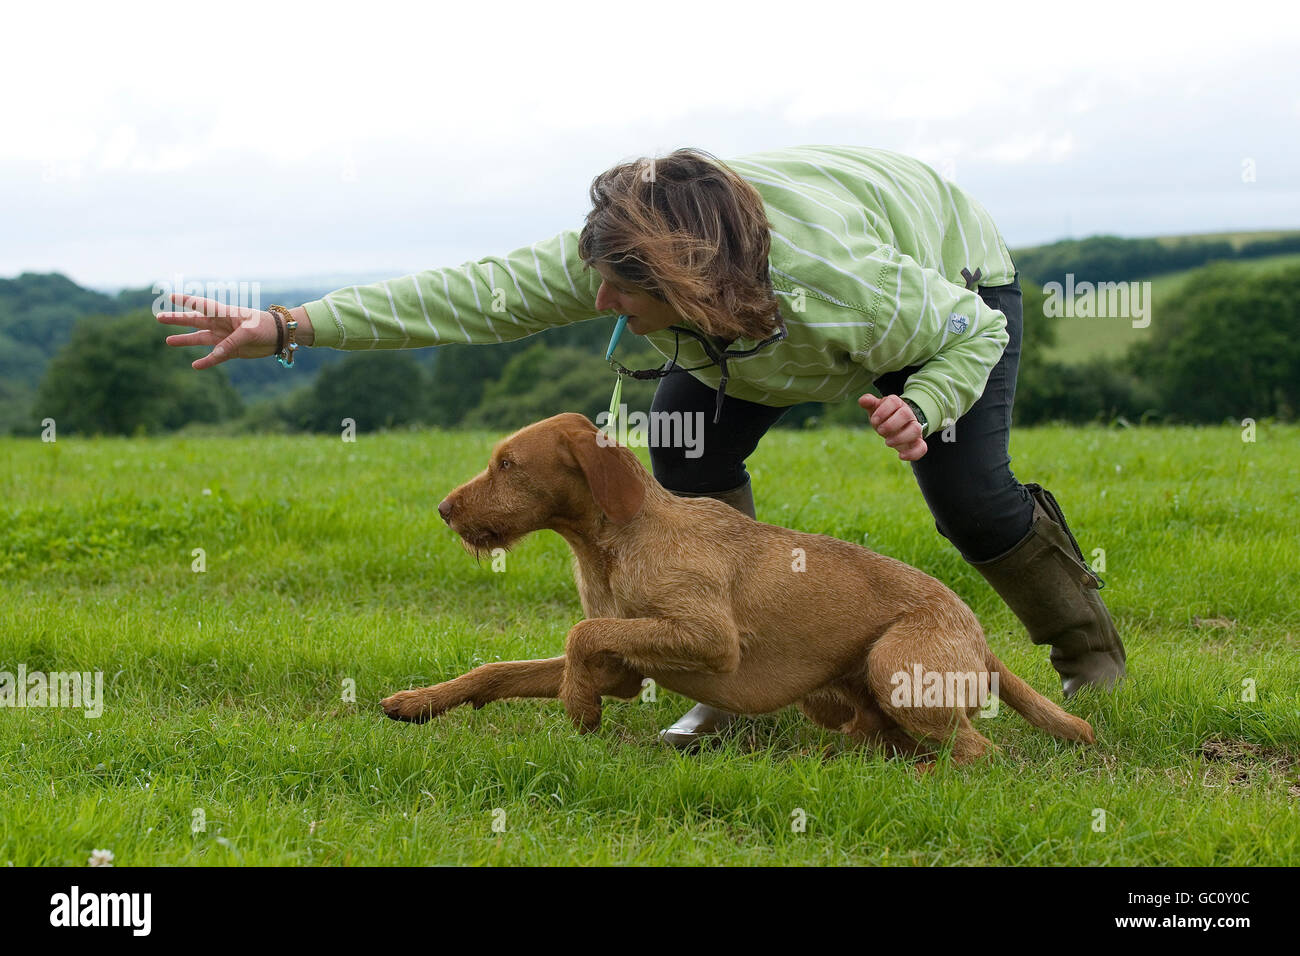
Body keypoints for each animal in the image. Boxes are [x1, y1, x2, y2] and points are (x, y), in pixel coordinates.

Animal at [379, 411, 1092, 764]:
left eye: (508, 464)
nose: (443, 510)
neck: (611, 546)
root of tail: (978, 634)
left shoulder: (707, 637)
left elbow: (583, 630)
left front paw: (579, 709)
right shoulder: (626, 659)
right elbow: (499, 669)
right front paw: (418, 702)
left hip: (897, 671)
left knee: (978, 752)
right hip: (841, 701)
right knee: (894, 744)